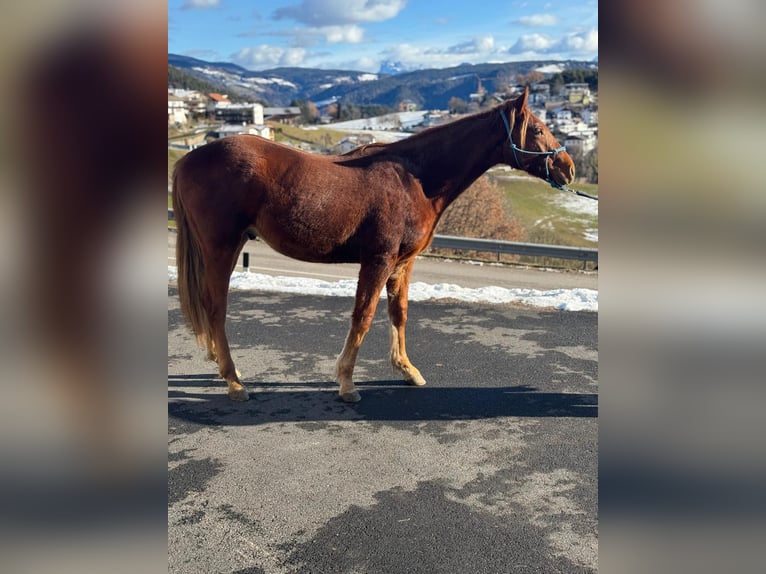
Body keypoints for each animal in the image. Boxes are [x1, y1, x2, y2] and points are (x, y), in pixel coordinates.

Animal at [171, 89, 572, 404]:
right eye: (538, 129)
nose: (567, 167)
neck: (415, 178)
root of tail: (188, 158)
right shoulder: (378, 260)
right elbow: (363, 316)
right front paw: (347, 382)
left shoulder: (402, 263)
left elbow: (399, 314)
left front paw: (407, 369)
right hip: (221, 247)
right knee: (216, 308)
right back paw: (233, 381)